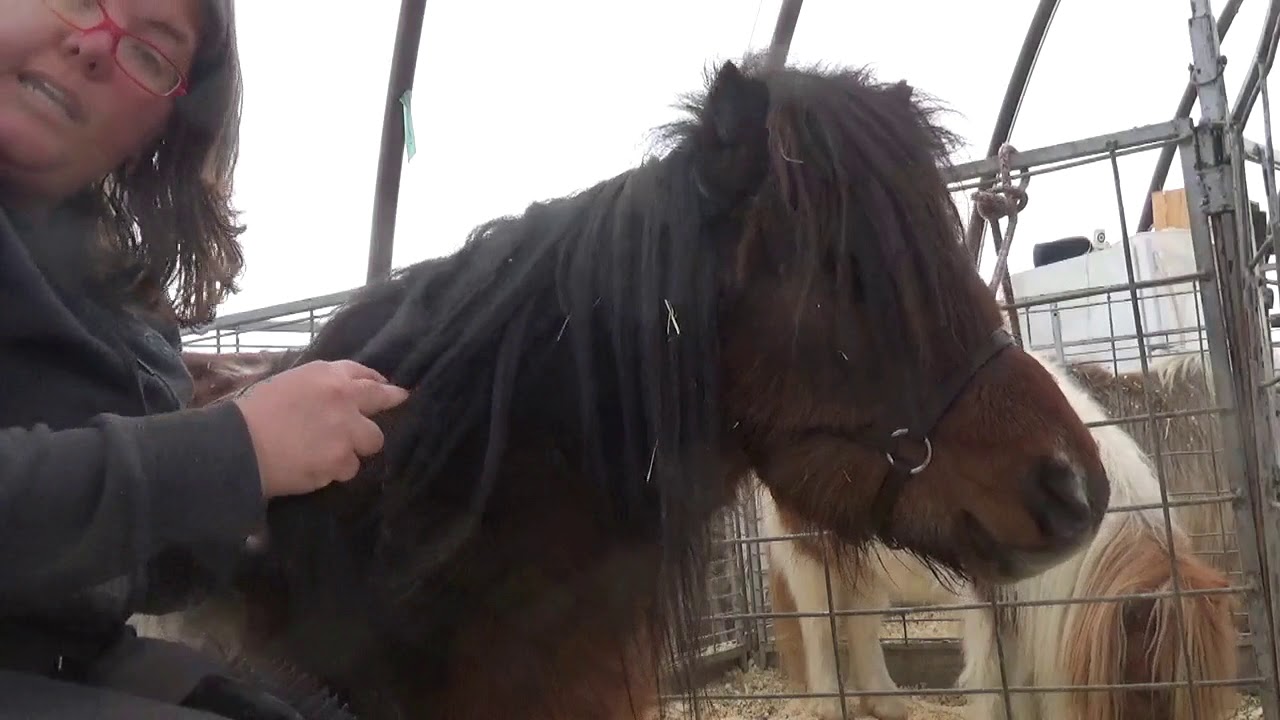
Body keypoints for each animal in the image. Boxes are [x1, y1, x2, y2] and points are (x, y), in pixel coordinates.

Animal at [762, 351, 1237, 720]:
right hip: (809, 550)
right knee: (818, 622)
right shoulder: (992, 603)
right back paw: (830, 704)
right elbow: (1000, 683)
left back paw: (887, 704)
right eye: (1148, 688)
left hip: (865, 563)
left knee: (860, 621)